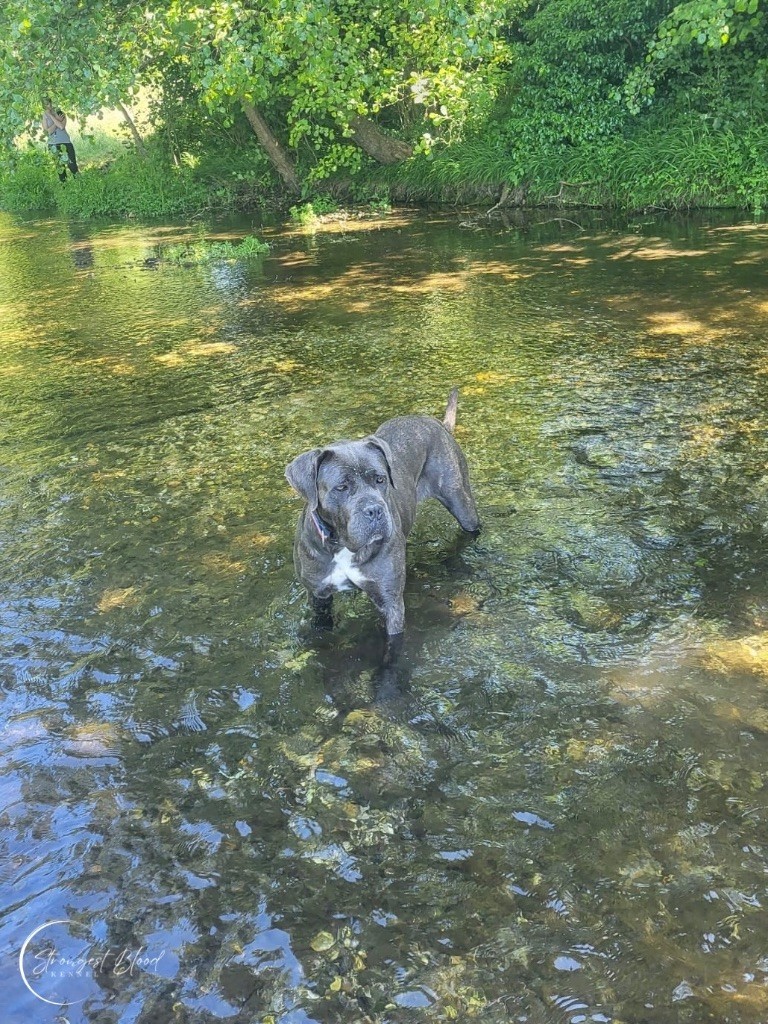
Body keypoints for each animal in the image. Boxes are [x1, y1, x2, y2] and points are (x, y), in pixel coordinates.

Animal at [286, 389, 479, 634]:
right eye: (342, 487)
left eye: (380, 479)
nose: (375, 510)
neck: (342, 546)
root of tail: (437, 423)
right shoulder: (318, 596)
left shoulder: (390, 602)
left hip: (461, 501)